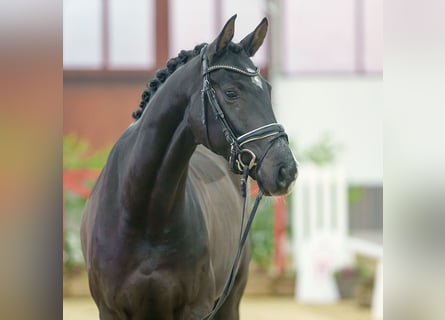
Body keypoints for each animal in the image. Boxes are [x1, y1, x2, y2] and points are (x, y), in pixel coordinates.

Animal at [81, 15, 296, 320]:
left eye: (267, 90)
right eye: (231, 93)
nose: (286, 171)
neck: (144, 213)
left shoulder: (196, 309)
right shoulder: (110, 311)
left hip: (230, 301)